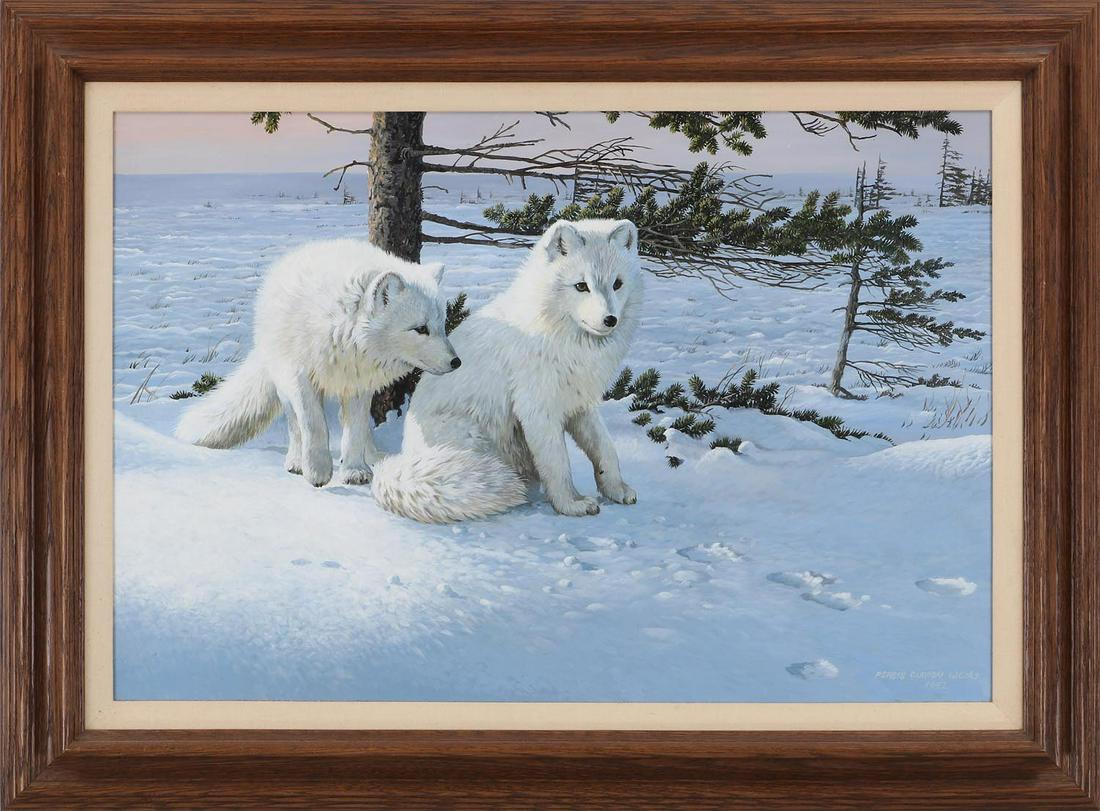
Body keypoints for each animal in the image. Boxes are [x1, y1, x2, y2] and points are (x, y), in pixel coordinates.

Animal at [175, 238, 460, 487]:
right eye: (420, 329)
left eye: (442, 324)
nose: (456, 362)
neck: (340, 333)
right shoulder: (300, 376)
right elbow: (314, 425)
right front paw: (318, 470)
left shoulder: (357, 382)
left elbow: (354, 431)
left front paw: (354, 470)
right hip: (283, 383)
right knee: (295, 425)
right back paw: (296, 461)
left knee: (354, 426)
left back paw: (372, 456)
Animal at [371, 218, 642, 523]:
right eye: (581, 286)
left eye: (617, 284)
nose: (610, 320)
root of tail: (405, 456)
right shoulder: (537, 408)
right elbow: (557, 462)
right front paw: (570, 504)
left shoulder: (579, 402)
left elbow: (604, 447)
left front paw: (616, 489)